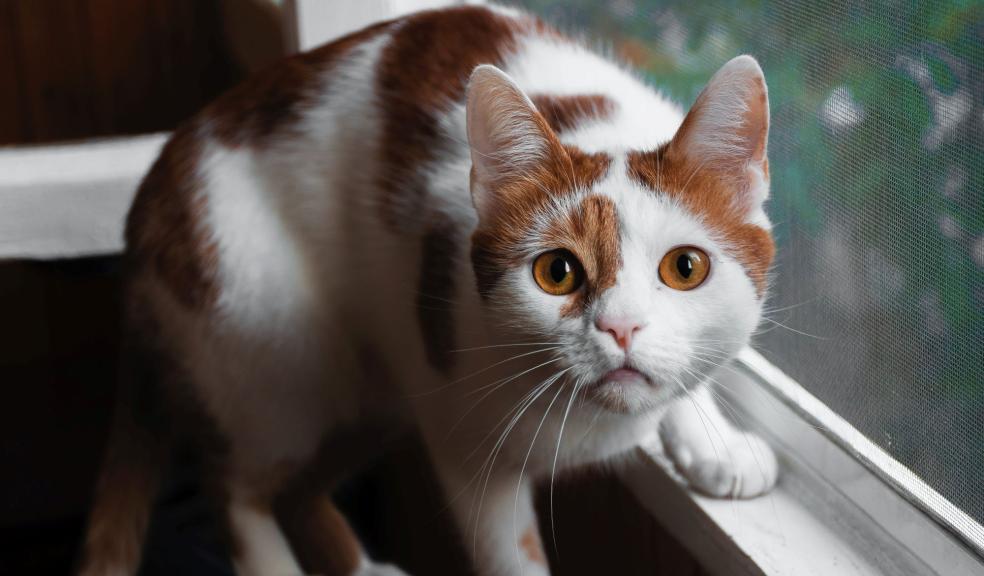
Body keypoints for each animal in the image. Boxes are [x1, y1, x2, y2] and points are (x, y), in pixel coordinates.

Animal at [79, 4, 776, 576]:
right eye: (557, 272)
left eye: (684, 268)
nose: (621, 327)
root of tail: (145, 203)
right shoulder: (466, 445)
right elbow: (509, 555)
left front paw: (713, 444)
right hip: (270, 356)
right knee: (234, 489)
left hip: (368, 385)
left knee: (295, 490)